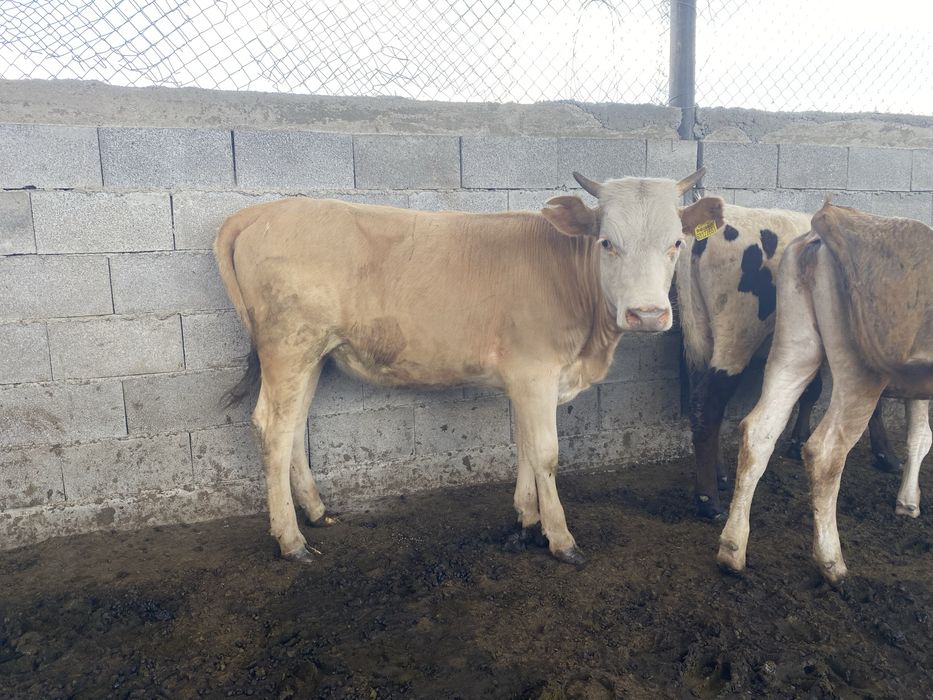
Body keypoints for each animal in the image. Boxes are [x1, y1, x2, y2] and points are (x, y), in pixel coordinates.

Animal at [214, 168, 706, 565]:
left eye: (677, 242)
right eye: (607, 243)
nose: (647, 314)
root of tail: (266, 210)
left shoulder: (524, 378)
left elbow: (524, 446)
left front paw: (527, 522)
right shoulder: (535, 373)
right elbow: (545, 453)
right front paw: (560, 538)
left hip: (312, 355)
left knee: (294, 425)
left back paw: (316, 513)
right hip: (288, 346)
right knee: (273, 428)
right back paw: (290, 540)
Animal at [676, 196, 900, 520]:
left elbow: (812, 390)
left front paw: (797, 441)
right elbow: (874, 404)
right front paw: (886, 455)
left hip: (701, 336)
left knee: (702, 403)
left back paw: (719, 475)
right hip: (737, 332)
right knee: (709, 405)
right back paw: (709, 500)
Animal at [716, 202, 933, 583]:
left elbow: (920, 436)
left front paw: (908, 503)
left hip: (795, 348)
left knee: (759, 430)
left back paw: (732, 550)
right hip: (861, 372)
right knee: (825, 451)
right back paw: (832, 563)